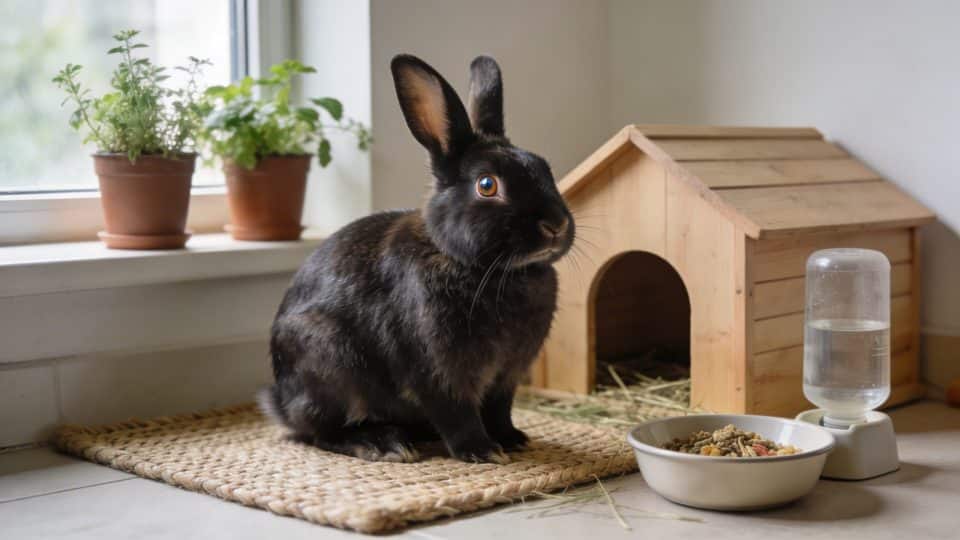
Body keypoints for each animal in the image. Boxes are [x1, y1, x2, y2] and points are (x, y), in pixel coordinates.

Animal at [259, 54, 574, 464]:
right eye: (487, 185)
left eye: (544, 168)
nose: (556, 226)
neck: (477, 266)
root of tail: (280, 402)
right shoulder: (437, 371)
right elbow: (457, 413)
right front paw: (482, 451)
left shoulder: (505, 376)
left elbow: (499, 410)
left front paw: (511, 439)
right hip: (330, 362)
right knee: (321, 431)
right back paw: (380, 443)